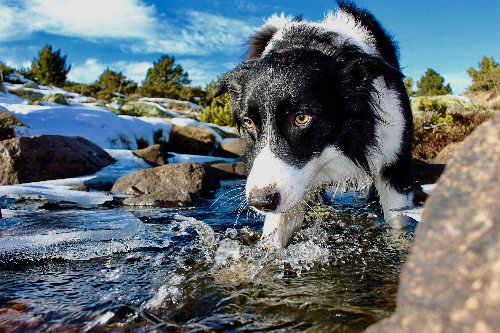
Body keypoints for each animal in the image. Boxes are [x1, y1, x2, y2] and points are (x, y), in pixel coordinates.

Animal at [215, 1, 414, 248]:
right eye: (249, 122)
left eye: (302, 118)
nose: (260, 202)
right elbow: (274, 233)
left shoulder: (394, 161)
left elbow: (399, 224)